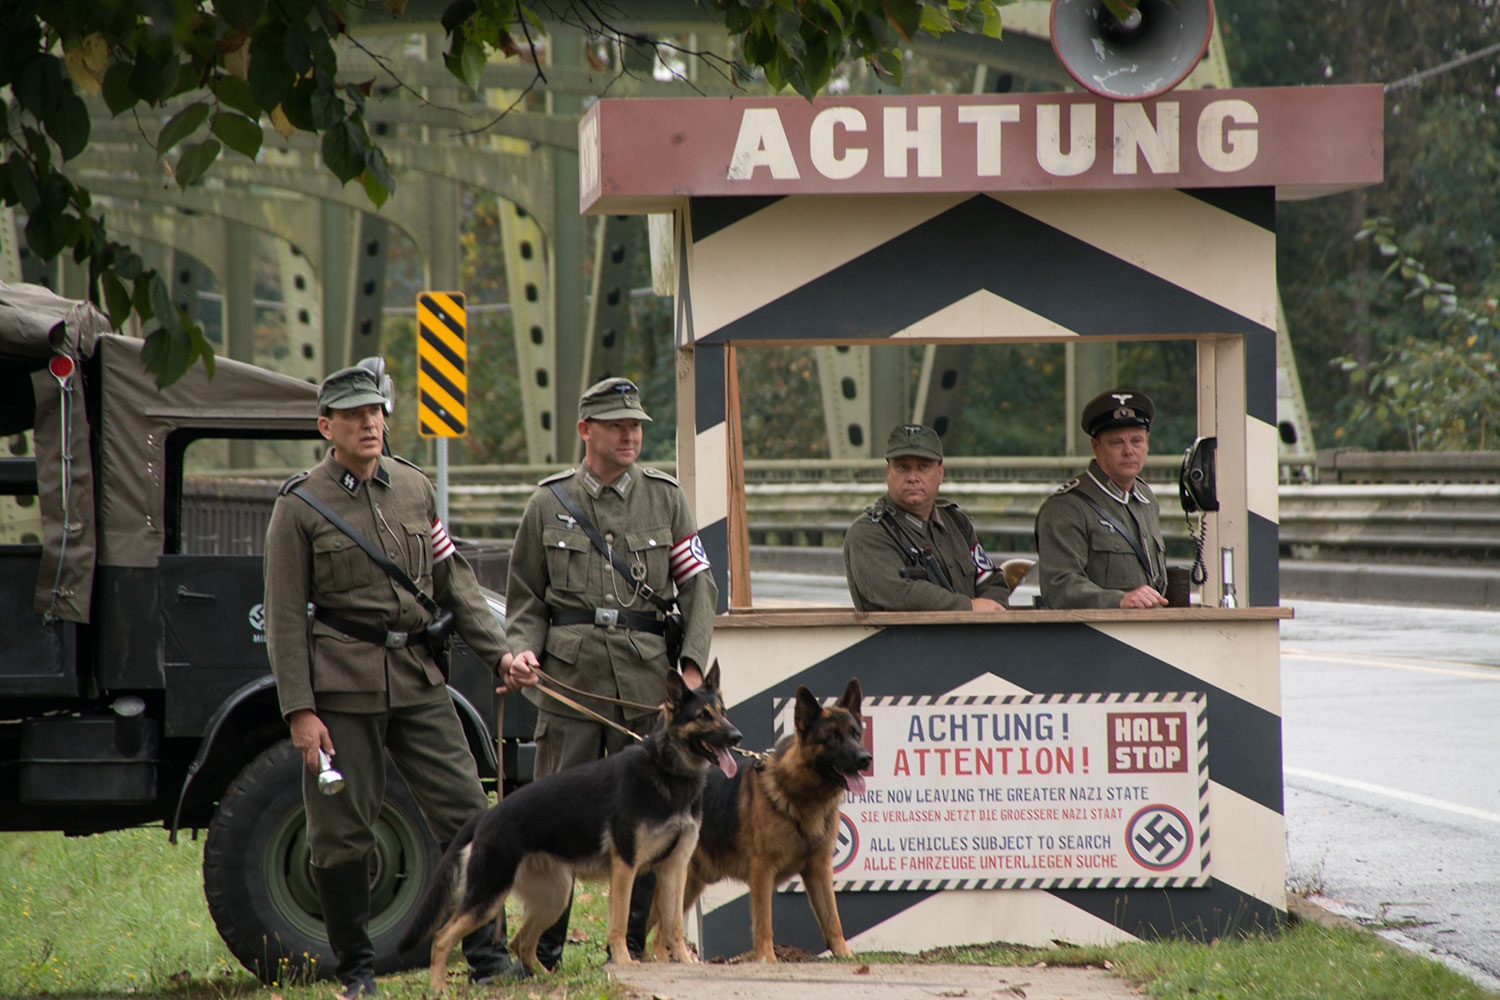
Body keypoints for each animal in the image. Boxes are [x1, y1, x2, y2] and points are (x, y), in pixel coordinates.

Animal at [402, 665, 741, 983]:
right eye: (703, 716)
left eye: (722, 712)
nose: (737, 737)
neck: (666, 770)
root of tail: (486, 814)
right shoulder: (626, 865)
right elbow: (620, 920)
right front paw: (624, 960)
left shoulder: (675, 868)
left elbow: (673, 925)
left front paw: (683, 961)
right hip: (489, 895)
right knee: (443, 938)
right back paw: (439, 988)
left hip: (555, 895)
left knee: (520, 941)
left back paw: (544, 977)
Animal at [651, 677, 876, 965]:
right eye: (833, 737)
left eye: (855, 734)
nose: (865, 759)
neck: (801, 794)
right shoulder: (762, 870)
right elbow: (764, 921)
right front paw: (767, 958)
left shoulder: (819, 869)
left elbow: (832, 919)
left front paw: (844, 955)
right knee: (658, 931)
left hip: (689, 885)